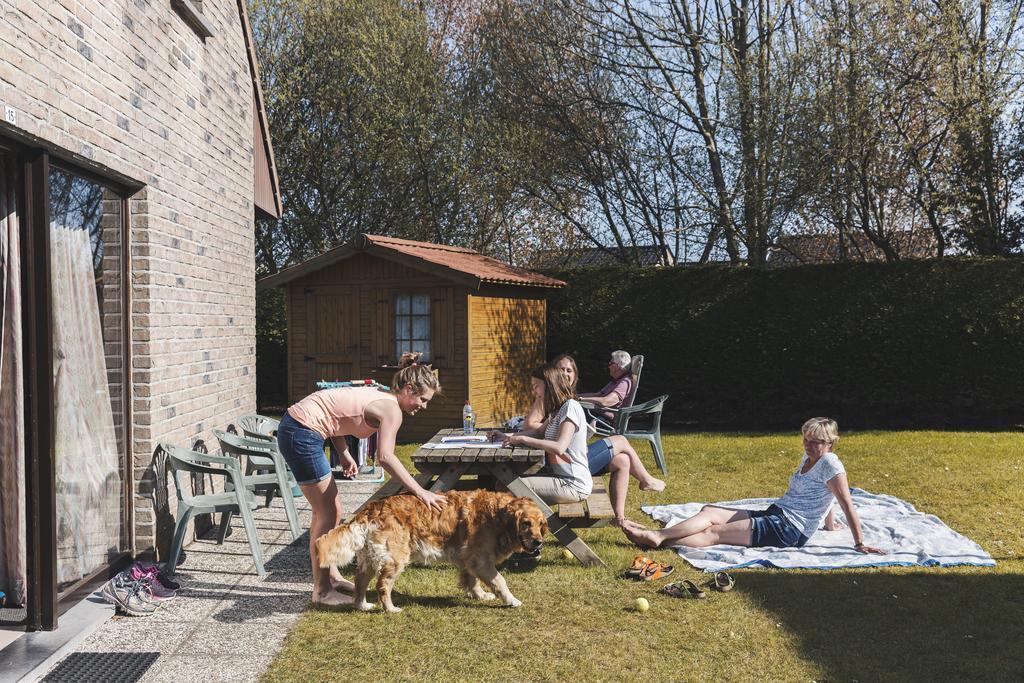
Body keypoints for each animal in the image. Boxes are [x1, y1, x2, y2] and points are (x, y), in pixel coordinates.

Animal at [315, 491, 548, 614]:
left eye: (541, 524)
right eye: (526, 524)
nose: (538, 542)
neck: (497, 517)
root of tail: (371, 508)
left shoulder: (469, 558)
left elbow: (472, 580)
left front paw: (480, 595)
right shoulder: (480, 559)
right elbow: (500, 581)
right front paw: (511, 600)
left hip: (370, 559)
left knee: (360, 582)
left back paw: (362, 605)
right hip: (395, 559)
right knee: (383, 585)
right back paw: (390, 608)